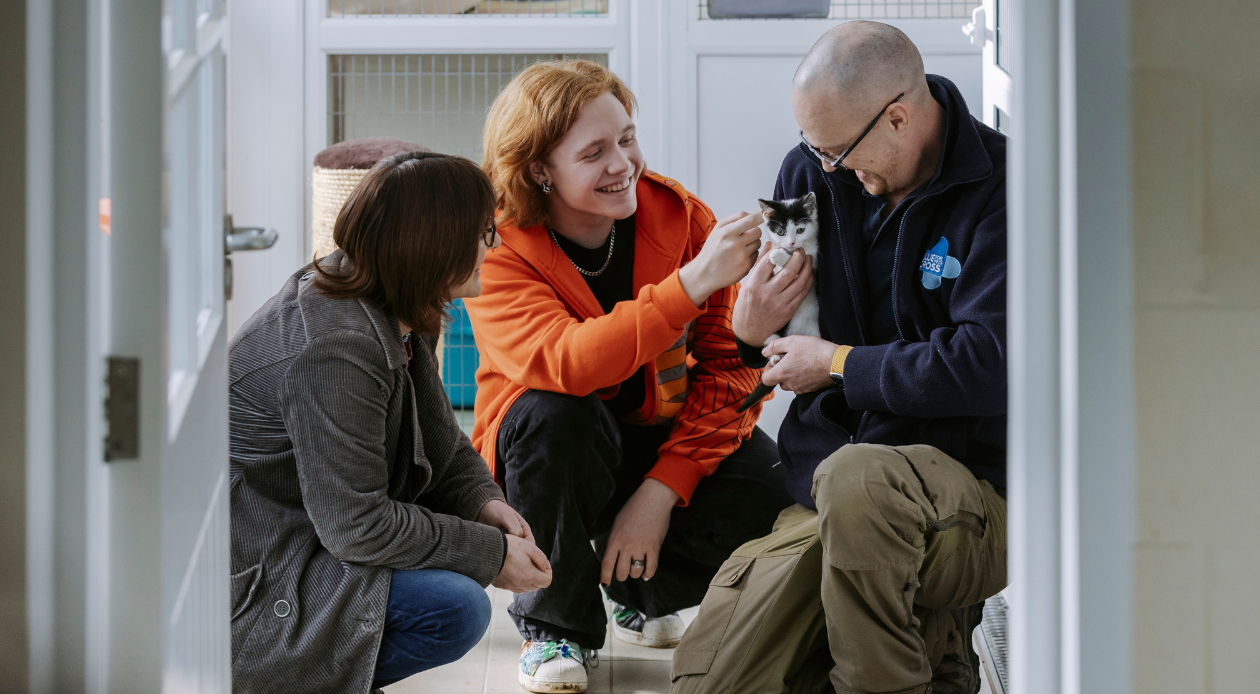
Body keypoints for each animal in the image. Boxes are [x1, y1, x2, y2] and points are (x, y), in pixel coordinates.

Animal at [735, 191, 826, 413]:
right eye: (781, 232)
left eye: (800, 230)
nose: (791, 243)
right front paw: (777, 256)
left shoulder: (814, 263)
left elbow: (805, 258)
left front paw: (780, 257)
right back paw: (775, 355)